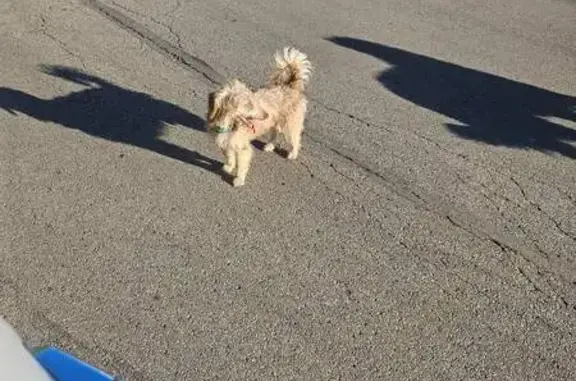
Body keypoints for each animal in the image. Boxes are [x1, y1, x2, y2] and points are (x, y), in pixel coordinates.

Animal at [207, 46, 312, 186]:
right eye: (249, 105)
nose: (266, 114)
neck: (229, 124)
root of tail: (291, 86)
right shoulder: (227, 144)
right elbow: (230, 157)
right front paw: (229, 167)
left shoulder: (244, 149)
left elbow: (242, 165)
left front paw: (239, 179)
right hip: (275, 122)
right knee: (275, 133)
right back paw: (270, 146)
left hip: (290, 125)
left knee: (295, 140)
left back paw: (293, 154)